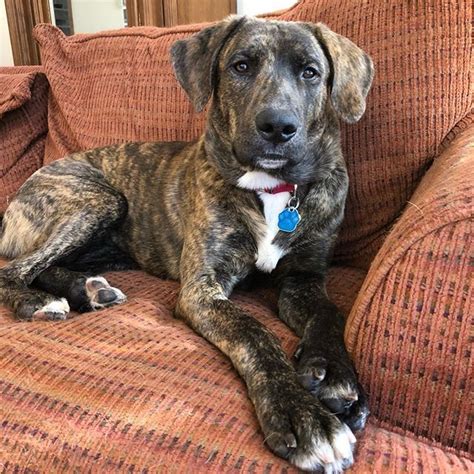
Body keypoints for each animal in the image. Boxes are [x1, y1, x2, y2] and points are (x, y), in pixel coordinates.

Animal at [0, 16, 374, 472]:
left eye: (310, 72)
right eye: (241, 66)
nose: (277, 127)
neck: (272, 190)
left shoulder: (303, 279)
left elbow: (329, 313)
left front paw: (337, 378)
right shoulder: (201, 289)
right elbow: (254, 333)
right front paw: (302, 415)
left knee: (47, 265)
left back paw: (89, 290)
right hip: (98, 200)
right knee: (15, 268)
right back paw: (37, 302)